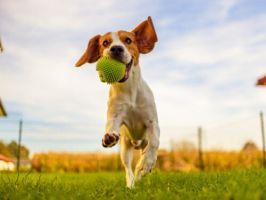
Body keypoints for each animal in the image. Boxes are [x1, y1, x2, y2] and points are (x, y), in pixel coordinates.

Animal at [76, 16, 161, 188]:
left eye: (128, 40)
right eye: (105, 43)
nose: (116, 49)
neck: (129, 91)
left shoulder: (152, 123)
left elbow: (154, 142)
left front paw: (147, 163)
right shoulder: (115, 116)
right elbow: (111, 126)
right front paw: (108, 137)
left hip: (142, 143)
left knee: (143, 157)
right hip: (125, 149)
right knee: (128, 169)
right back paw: (131, 185)